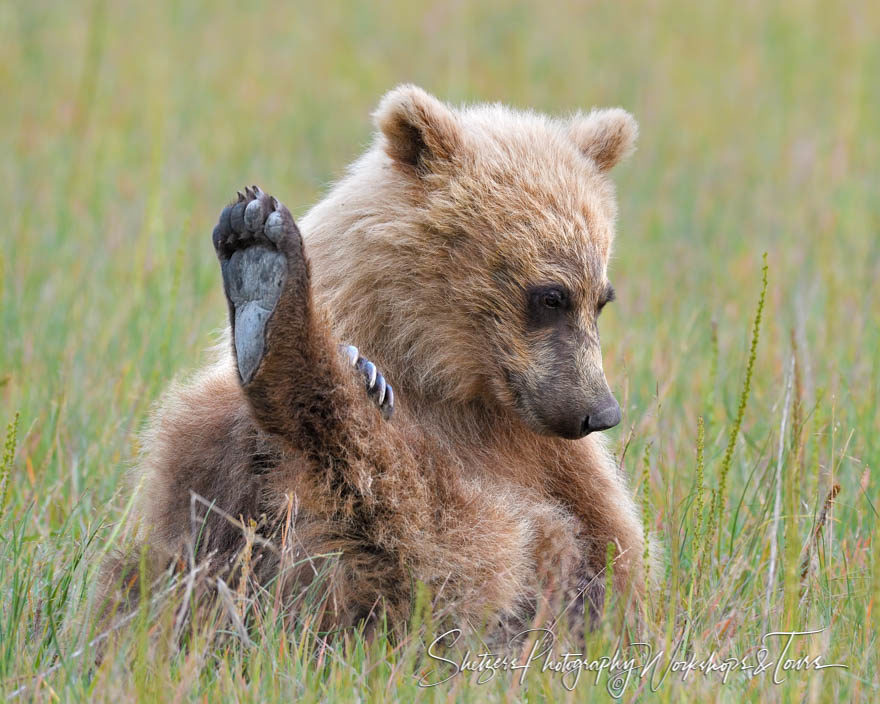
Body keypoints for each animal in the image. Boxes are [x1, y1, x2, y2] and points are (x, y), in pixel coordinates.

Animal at [98, 85, 648, 640]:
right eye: (551, 296)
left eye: (601, 299)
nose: (601, 412)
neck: (435, 367)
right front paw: (354, 366)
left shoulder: (545, 453)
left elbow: (608, 558)